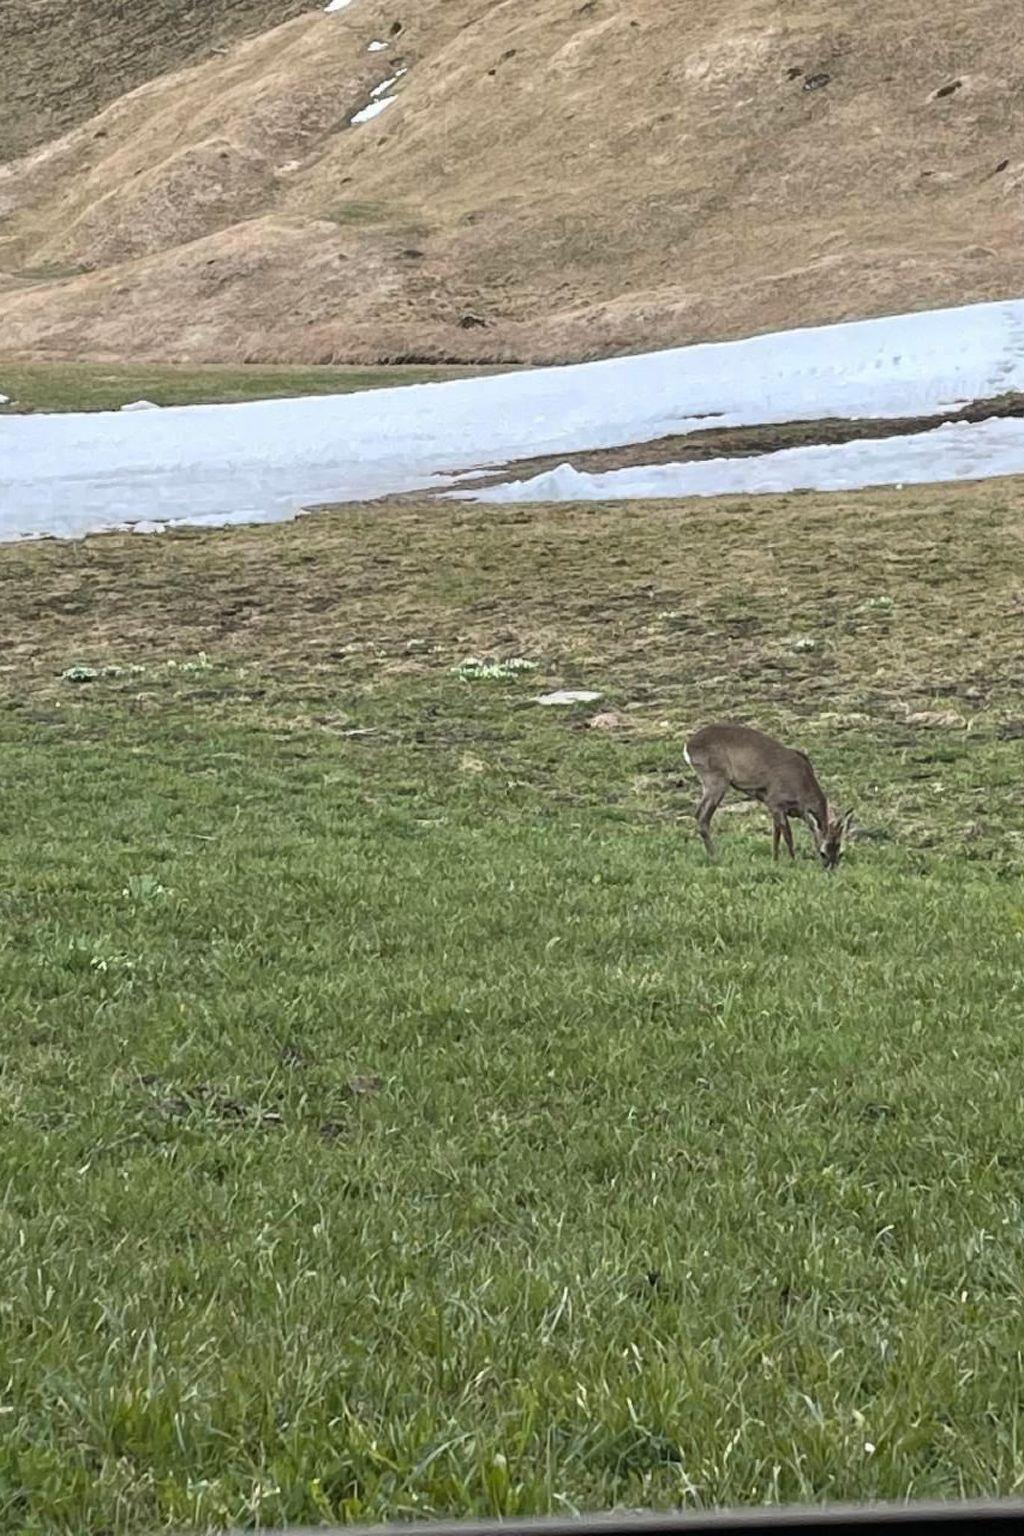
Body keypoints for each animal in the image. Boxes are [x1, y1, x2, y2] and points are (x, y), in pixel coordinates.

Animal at [684, 723, 853, 869]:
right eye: (823, 853)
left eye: (840, 851)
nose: (830, 869)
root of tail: (688, 747)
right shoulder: (775, 800)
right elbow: (788, 835)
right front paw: (794, 861)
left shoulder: (774, 807)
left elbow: (776, 835)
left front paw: (775, 860)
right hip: (716, 778)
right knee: (703, 816)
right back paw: (715, 856)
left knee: (698, 813)